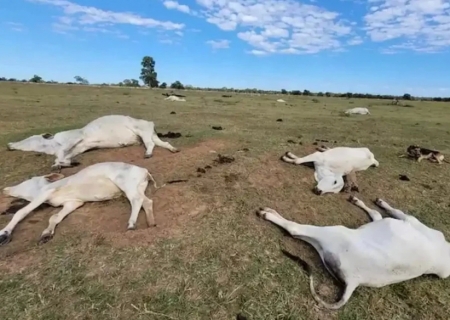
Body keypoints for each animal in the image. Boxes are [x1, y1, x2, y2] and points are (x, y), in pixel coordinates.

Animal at [0, 162, 162, 245]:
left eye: (29, 180)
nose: (5, 189)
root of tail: (144, 170)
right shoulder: (73, 203)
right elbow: (55, 217)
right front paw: (46, 234)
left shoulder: (45, 193)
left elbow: (21, 212)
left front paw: (4, 233)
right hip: (138, 187)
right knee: (147, 201)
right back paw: (151, 222)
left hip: (126, 184)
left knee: (137, 200)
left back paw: (132, 224)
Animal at [6, 115, 179, 170]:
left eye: (30, 138)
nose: (9, 145)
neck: (54, 144)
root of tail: (150, 122)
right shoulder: (79, 147)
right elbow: (65, 157)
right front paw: (64, 164)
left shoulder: (75, 138)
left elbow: (61, 154)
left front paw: (58, 164)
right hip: (150, 135)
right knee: (163, 143)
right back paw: (174, 149)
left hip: (143, 132)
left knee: (151, 145)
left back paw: (148, 154)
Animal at [258, 195, 450, 310]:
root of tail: (354, 281)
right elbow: (377, 214)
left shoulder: (409, 219)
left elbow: (391, 211)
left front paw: (378, 203)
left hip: (333, 232)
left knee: (295, 229)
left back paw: (268, 213)